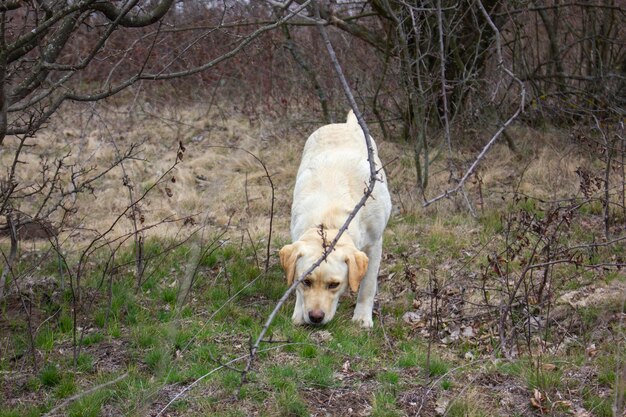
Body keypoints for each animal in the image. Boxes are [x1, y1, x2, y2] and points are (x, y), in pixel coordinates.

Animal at [280, 111, 390, 328]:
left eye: (334, 285)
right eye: (306, 281)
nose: (315, 317)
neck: (329, 224)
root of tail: (345, 124)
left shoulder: (374, 244)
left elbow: (368, 285)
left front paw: (362, 317)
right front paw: (299, 312)